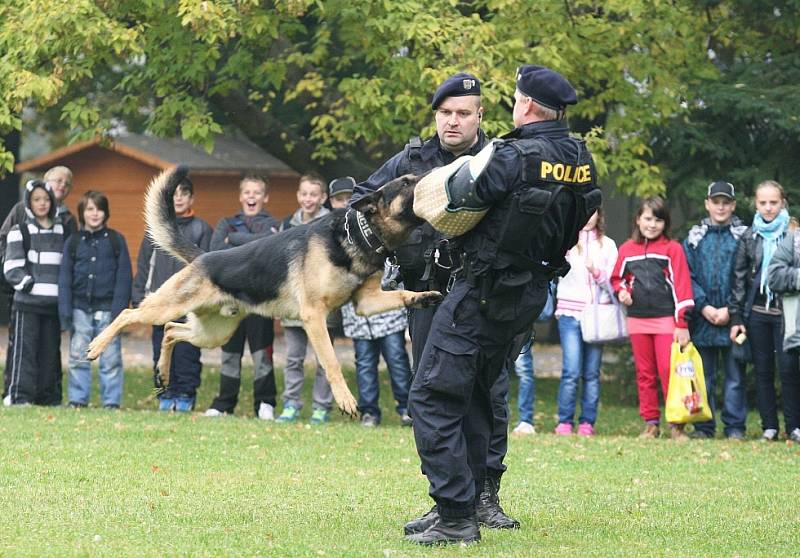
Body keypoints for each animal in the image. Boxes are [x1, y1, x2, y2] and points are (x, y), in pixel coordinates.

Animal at [87, 166, 444, 416]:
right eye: (406, 182)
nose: (437, 172)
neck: (360, 234)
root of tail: (204, 256)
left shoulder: (365, 304)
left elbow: (400, 296)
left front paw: (423, 296)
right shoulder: (313, 316)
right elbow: (330, 362)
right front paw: (345, 399)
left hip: (213, 333)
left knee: (171, 332)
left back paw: (161, 374)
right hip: (169, 306)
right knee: (128, 313)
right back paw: (95, 347)